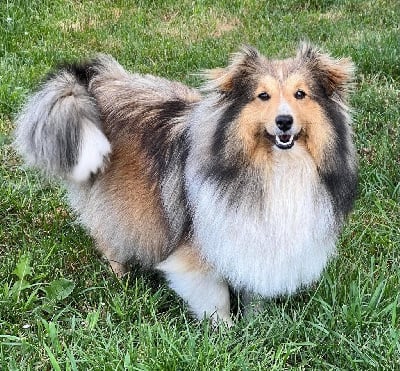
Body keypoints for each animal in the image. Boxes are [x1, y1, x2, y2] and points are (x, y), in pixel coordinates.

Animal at [14, 44, 358, 326]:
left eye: (301, 94)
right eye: (263, 96)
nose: (284, 121)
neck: (276, 166)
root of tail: (97, 83)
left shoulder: (253, 239)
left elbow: (253, 290)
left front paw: (257, 324)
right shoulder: (199, 249)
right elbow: (215, 297)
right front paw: (225, 334)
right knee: (108, 236)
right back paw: (120, 278)